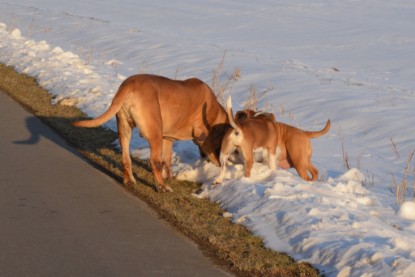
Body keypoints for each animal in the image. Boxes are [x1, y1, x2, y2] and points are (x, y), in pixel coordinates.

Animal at [71, 74, 228, 193]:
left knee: (126, 158)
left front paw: (169, 175)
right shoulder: (202, 138)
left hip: (124, 128)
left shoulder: (168, 138)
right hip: (155, 132)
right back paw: (162, 187)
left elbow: (167, 159)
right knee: (154, 162)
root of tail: (129, 85)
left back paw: (130, 180)